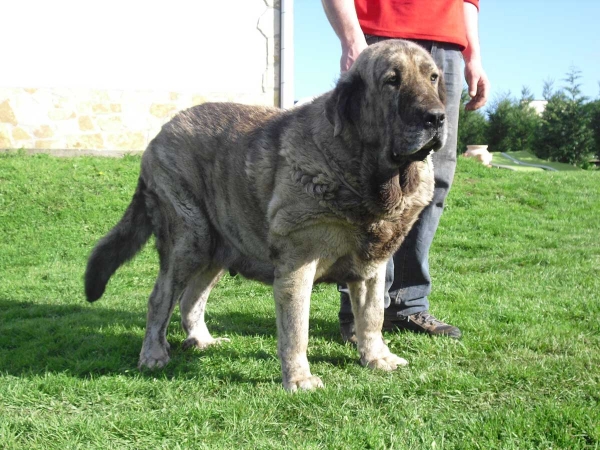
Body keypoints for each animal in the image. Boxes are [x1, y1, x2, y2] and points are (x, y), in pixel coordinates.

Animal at [86, 39, 448, 390]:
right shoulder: (297, 265)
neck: (367, 176)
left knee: (191, 298)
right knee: (160, 298)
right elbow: (296, 330)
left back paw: (202, 340)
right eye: (391, 81)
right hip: (190, 240)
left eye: (433, 78)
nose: (437, 117)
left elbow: (373, 316)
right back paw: (153, 353)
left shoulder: (373, 266)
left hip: (219, 248)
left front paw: (377, 357)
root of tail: (159, 135)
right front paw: (299, 379)